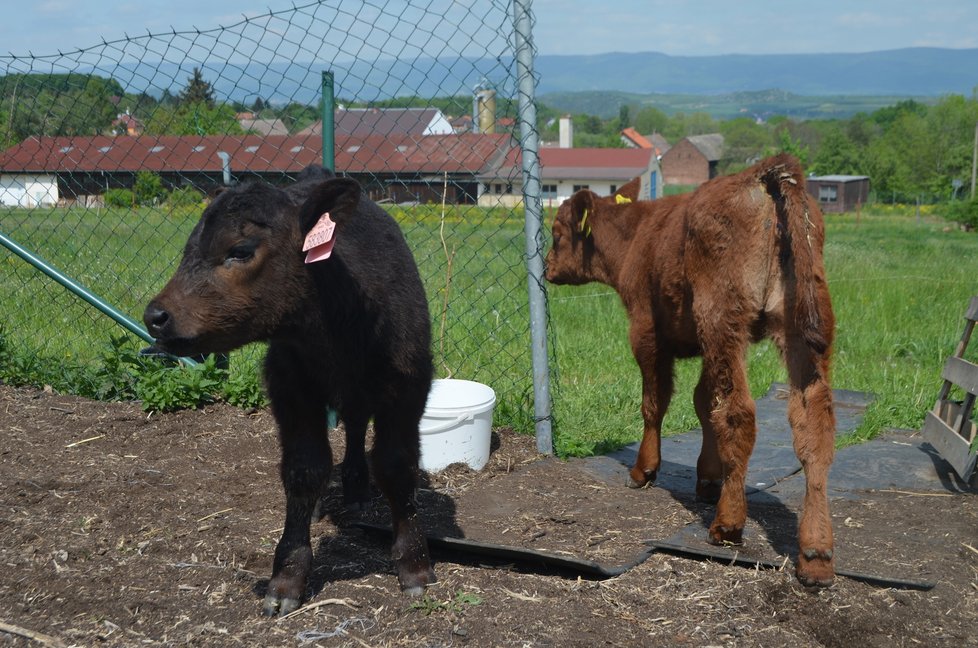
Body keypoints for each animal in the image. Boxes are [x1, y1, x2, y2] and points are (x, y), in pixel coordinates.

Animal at [544, 153, 836, 588]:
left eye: (556, 231)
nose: (546, 268)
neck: (637, 236)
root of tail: (763, 171)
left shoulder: (646, 330)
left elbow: (656, 401)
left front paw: (644, 469)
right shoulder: (701, 345)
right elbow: (703, 403)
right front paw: (710, 477)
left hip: (723, 317)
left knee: (739, 414)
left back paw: (727, 524)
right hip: (800, 329)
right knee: (813, 425)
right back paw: (816, 554)